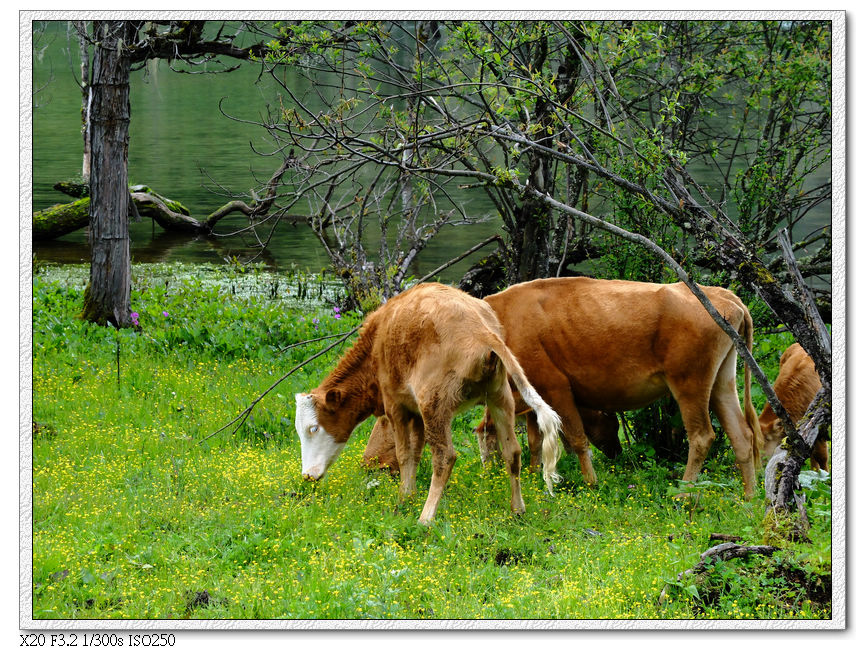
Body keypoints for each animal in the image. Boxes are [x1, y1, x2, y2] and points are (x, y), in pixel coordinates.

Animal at [294, 280, 564, 524]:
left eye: (313, 428)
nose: (307, 475)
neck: (377, 346)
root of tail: (482, 331)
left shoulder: (396, 406)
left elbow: (404, 453)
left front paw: (403, 499)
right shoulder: (415, 413)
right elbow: (415, 453)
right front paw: (409, 496)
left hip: (434, 403)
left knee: (445, 457)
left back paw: (426, 518)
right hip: (499, 396)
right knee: (513, 452)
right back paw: (517, 510)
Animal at [476, 276, 760, 498]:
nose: (487, 472)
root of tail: (726, 297)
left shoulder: (557, 390)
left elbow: (577, 439)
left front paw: (592, 483)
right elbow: (539, 440)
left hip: (690, 385)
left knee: (702, 436)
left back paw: (682, 494)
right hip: (722, 382)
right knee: (741, 434)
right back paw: (750, 497)